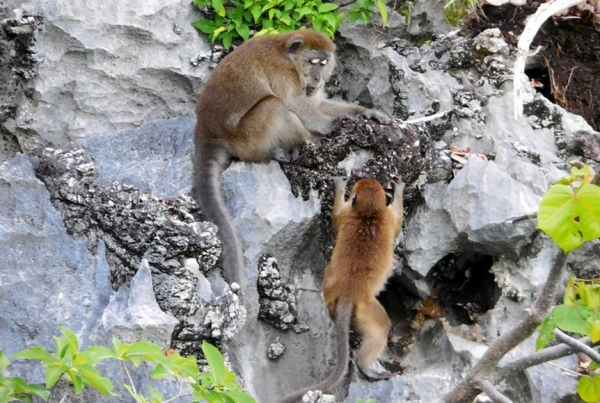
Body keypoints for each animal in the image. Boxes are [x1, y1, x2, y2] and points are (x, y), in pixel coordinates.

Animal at [192, 29, 390, 288]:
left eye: (323, 63)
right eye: (313, 61)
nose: (317, 79)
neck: (288, 55)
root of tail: (207, 133)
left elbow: (317, 103)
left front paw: (365, 113)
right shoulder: (283, 73)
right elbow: (295, 103)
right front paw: (334, 126)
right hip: (246, 138)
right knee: (274, 105)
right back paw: (304, 144)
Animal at [280, 178, 404, 402]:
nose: (366, 179)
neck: (368, 214)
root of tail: (349, 295)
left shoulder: (353, 214)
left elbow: (337, 220)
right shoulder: (384, 217)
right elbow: (397, 223)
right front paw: (398, 190)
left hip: (331, 290)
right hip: (367, 310)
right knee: (382, 327)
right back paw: (366, 366)